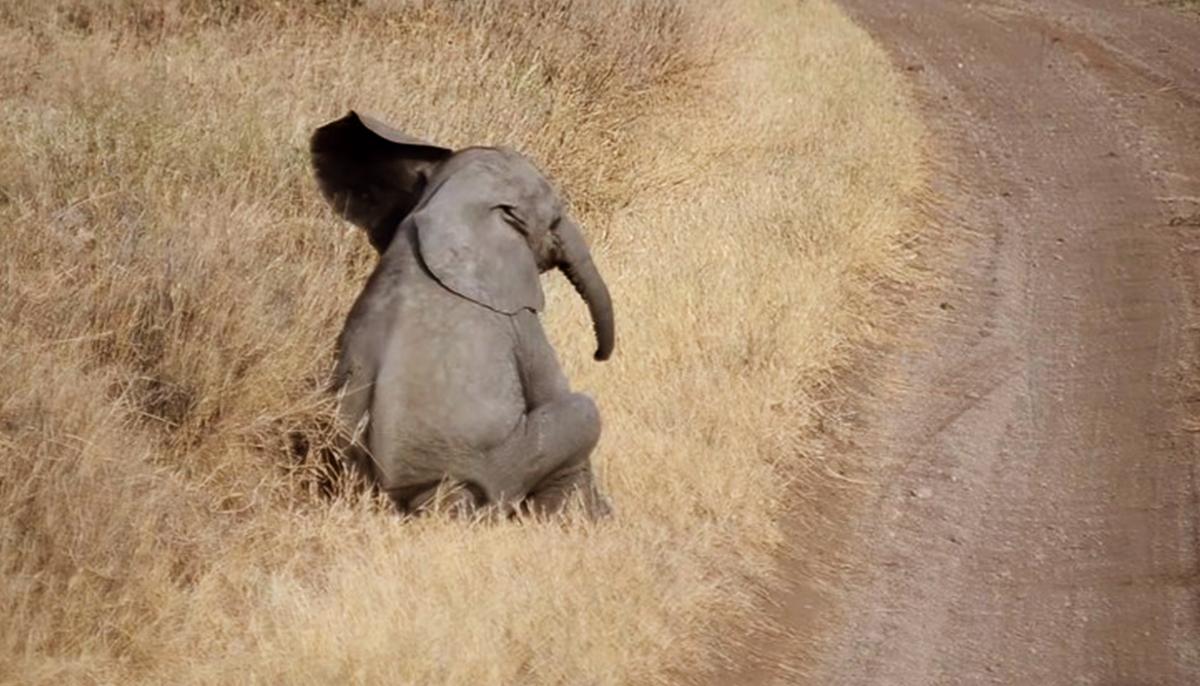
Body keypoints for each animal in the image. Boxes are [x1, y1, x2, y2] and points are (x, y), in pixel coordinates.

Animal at [311, 111, 614, 518]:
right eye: (554, 221)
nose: (598, 354)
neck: (450, 203)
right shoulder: (516, 314)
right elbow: (550, 388)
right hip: (495, 467)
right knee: (584, 413)